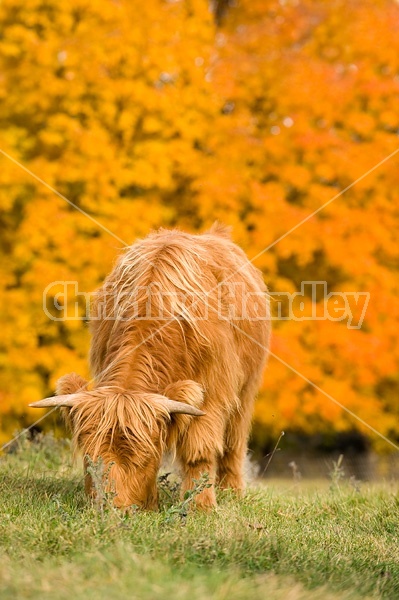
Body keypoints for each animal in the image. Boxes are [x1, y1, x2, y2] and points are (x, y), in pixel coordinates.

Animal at [30, 223, 272, 508]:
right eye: (89, 459)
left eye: (146, 458)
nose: (115, 509)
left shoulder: (213, 391)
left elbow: (199, 452)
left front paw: (201, 506)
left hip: (246, 388)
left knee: (234, 441)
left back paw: (231, 491)